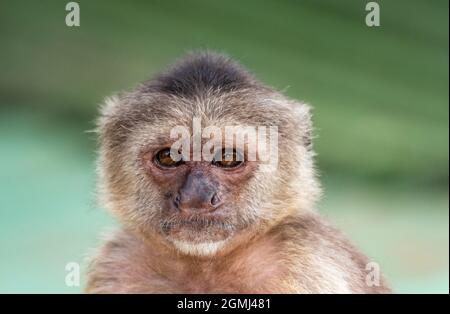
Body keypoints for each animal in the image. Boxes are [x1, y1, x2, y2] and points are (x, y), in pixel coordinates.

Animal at [85, 51, 390, 294]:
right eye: (169, 157)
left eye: (227, 158)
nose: (196, 197)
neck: (205, 268)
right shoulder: (116, 265)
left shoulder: (309, 265)